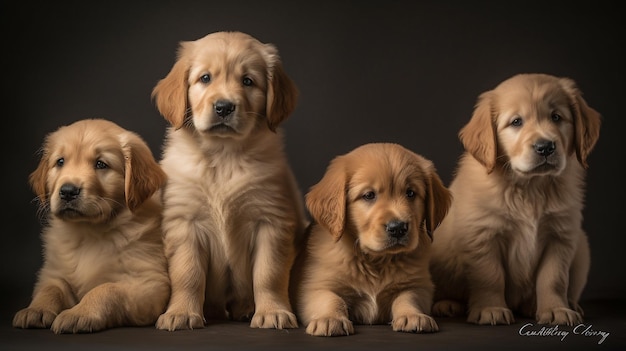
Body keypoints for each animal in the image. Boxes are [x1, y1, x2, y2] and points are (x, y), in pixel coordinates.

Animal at [14, 119, 171, 336]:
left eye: (101, 164)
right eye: (60, 162)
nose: (68, 191)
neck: (89, 232)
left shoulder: (150, 283)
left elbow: (106, 289)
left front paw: (78, 313)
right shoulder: (53, 272)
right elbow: (50, 289)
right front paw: (35, 309)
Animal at [151, 31, 308, 332]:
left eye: (248, 81)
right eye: (205, 78)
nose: (224, 107)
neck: (223, 156)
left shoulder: (271, 221)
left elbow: (268, 274)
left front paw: (273, 312)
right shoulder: (184, 222)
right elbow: (187, 273)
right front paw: (181, 313)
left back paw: (247, 309)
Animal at [290, 144, 450, 338]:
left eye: (411, 193)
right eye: (369, 195)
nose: (398, 228)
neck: (376, 261)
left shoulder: (419, 285)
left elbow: (408, 298)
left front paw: (414, 316)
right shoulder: (313, 287)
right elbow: (330, 298)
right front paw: (330, 319)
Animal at [428, 72, 600, 328]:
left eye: (556, 117)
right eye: (516, 122)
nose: (545, 147)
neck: (530, 188)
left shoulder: (560, 237)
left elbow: (553, 278)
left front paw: (556, 309)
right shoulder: (484, 235)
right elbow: (490, 276)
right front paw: (491, 309)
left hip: (582, 248)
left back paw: (557, 305)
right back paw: (446, 305)